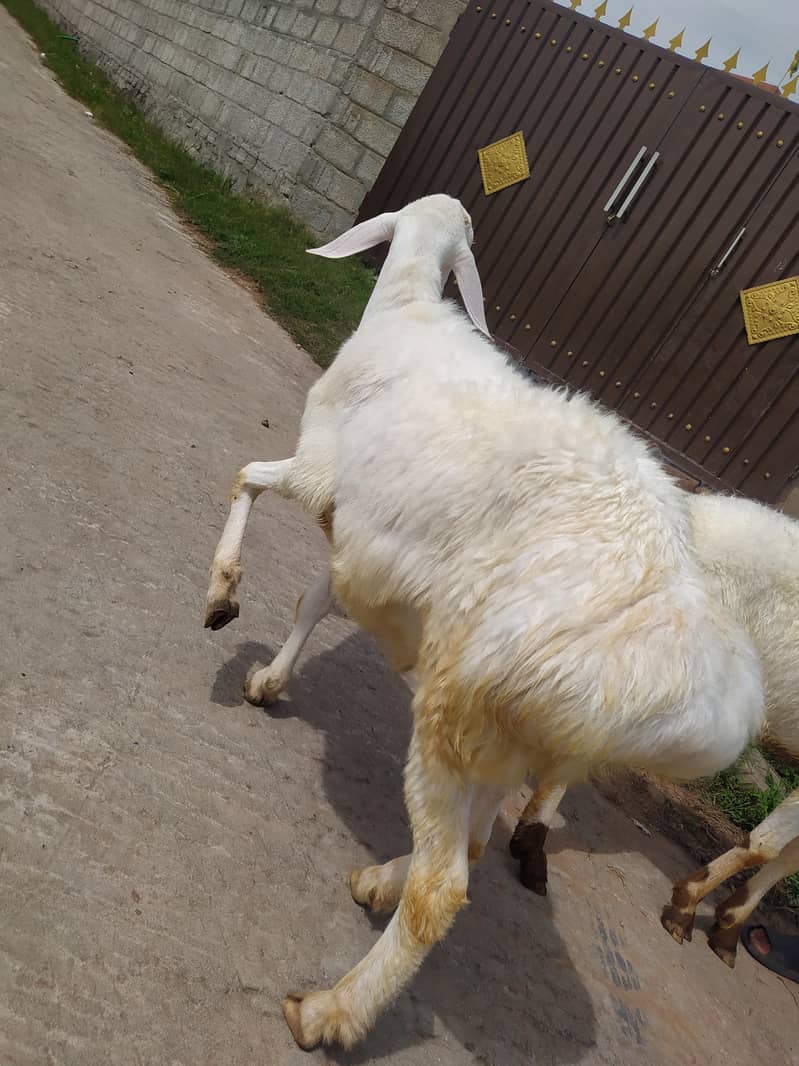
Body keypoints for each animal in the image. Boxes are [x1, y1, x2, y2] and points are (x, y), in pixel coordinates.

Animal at [203, 194, 764, 1051]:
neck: (404, 304)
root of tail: (694, 698)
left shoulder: (322, 478)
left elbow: (248, 480)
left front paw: (224, 598)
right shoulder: (364, 537)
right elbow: (315, 600)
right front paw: (271, 678)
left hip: (464, 705)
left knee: (444, 885)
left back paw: (332, 1010)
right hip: (512, 728)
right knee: (467, 842)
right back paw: (378, 881)